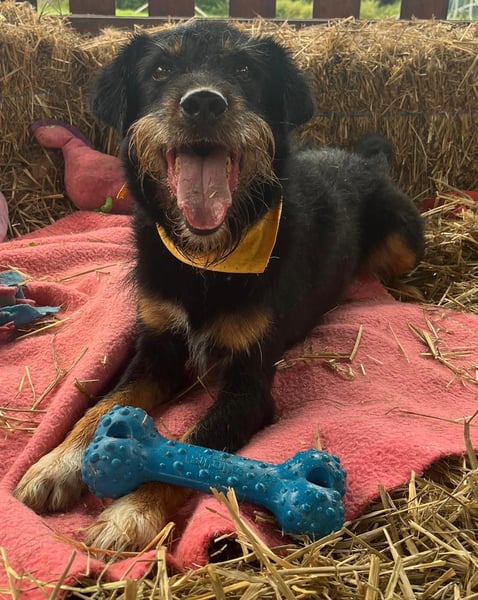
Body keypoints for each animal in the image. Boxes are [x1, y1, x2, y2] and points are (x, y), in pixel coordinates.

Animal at [15, 20, 424, 552]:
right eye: (160, 69)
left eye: (245, 69)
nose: (204, 103)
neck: (207, 261)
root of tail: (366, 160)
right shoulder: (156, 350)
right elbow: (103, 405)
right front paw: (55, 463)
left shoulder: (248, 386)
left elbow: (195, 447)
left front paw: (132, 512)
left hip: (401, 242)